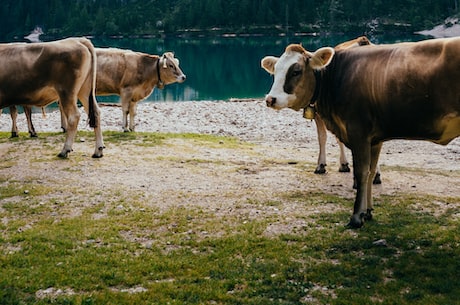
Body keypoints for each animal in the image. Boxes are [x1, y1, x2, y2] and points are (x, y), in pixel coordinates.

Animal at [262, 38, 460, 226]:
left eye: (296, 71)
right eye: (275, 71)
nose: (270, 99)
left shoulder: (358, 132)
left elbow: (361, 172)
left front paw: (357, 216)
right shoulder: (375, 139)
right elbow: (371, 172)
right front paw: (368, 210)